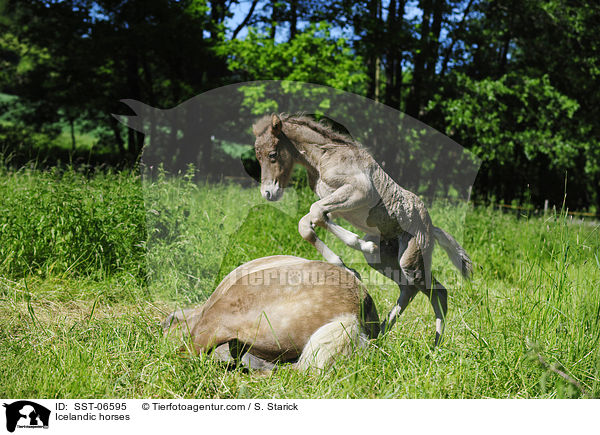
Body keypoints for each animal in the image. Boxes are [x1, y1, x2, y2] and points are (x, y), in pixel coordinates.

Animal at [251, 114, 472, 346]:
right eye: (258, 157)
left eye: (273, 154)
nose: (268, 193)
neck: (324, 156)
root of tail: (431, 227)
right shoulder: (333, 205)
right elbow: (309, 223)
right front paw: (346, 265)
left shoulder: (358, 192)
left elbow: (316, 213)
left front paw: (362, 245)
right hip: (385, 262)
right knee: (408, 289)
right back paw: (381, 335)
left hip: (411, 261)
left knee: (438, 292)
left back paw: (435, 346)